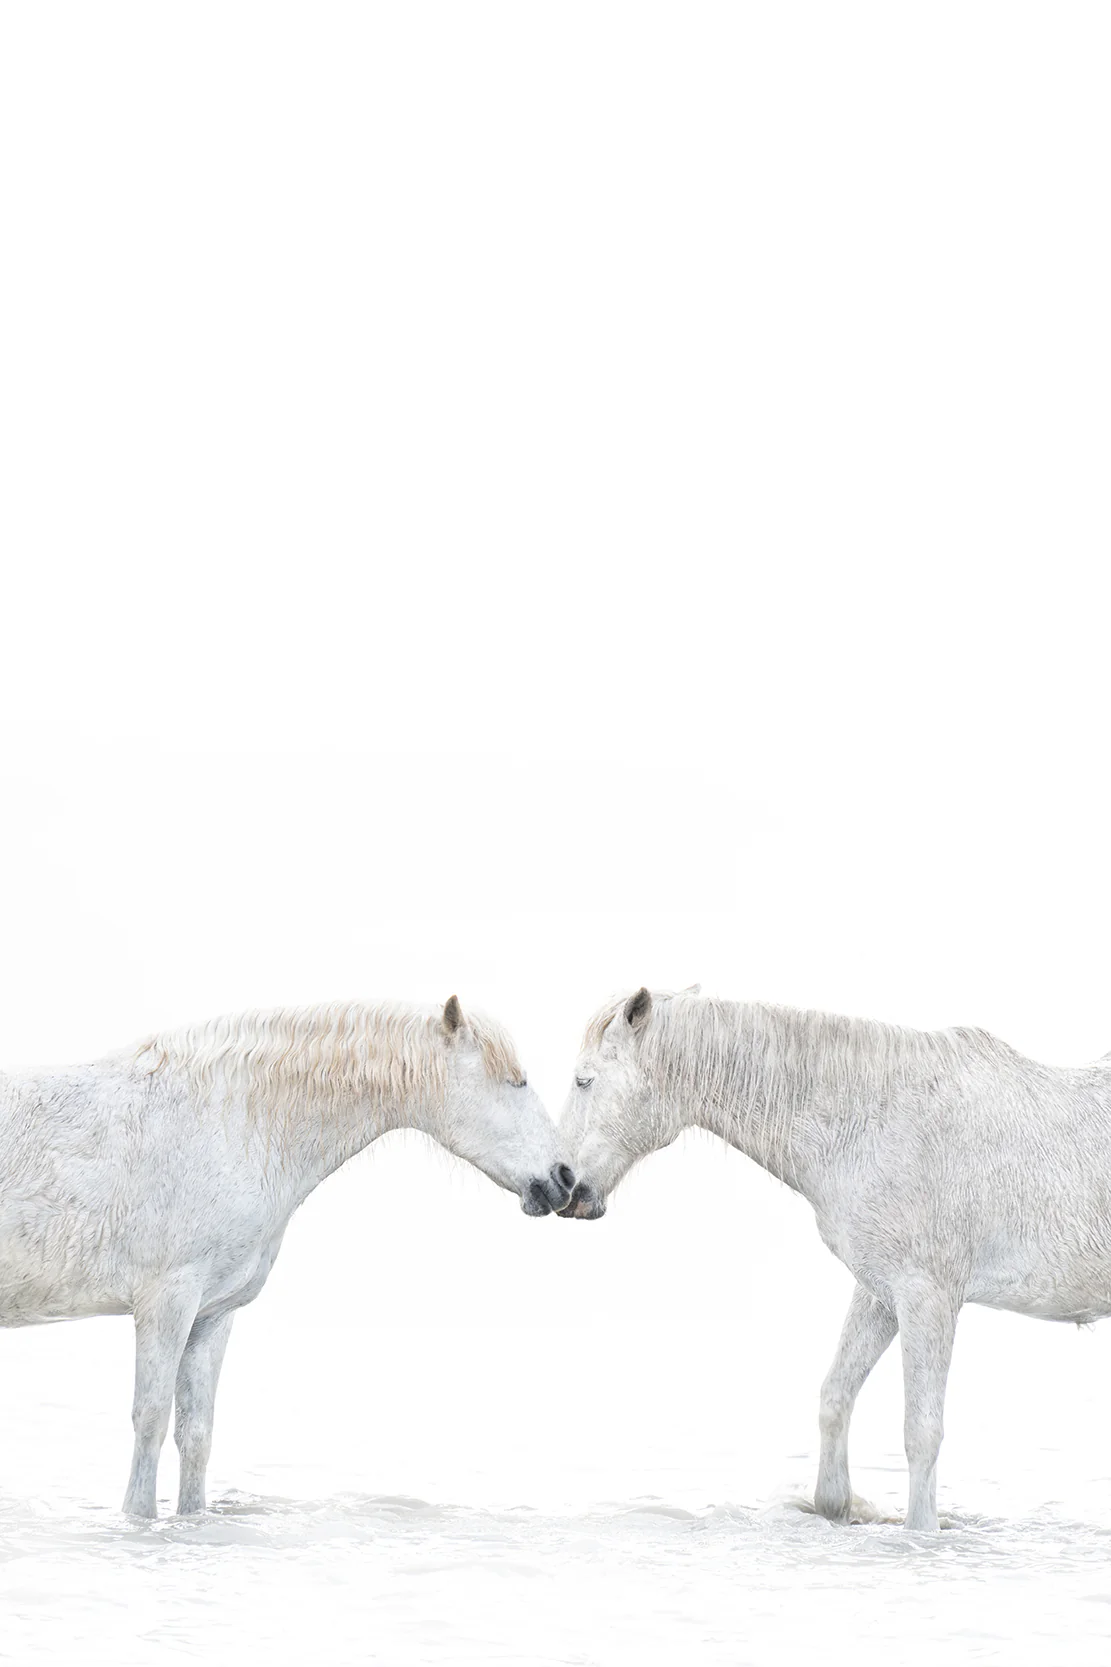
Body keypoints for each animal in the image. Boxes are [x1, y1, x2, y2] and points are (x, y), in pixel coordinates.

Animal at [0, 994, 572, 1517]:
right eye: (515, 1081)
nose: (565, 1178)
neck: (228, 1123)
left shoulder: (211, 1314)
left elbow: (196, 1434)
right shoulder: (166, 1303)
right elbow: (152, 1421)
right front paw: (138, 1519)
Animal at [558, 985, 1111, 1531]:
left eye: (585, 1080)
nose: (561, 1185)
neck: (876, 1124)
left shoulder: (928, 1298)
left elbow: (922, 1432)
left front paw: (920, 1530)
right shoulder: (881, 1293)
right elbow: (835, 1397)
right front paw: (836, 1507)